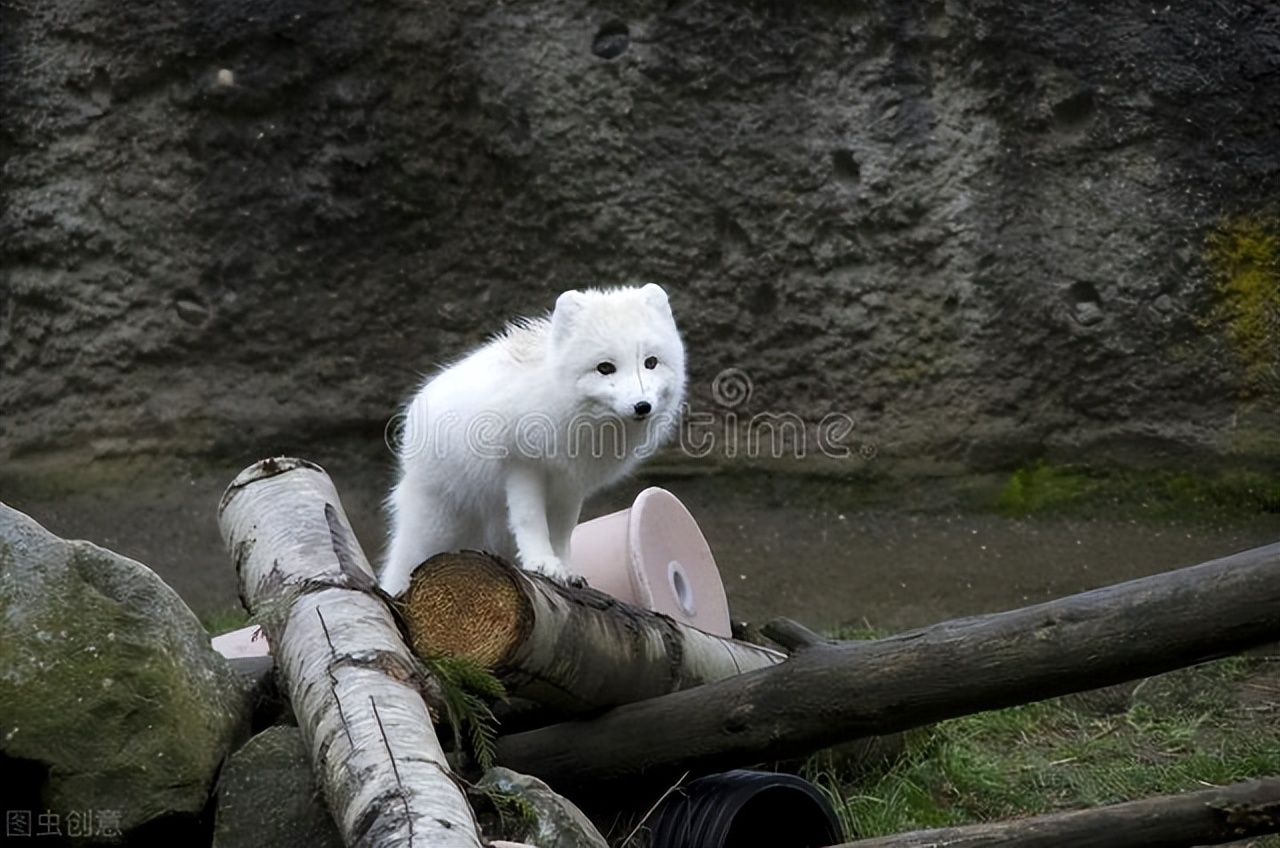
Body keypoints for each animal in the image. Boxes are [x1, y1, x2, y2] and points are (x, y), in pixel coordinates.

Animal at [381, 285, 691, 596]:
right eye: (605, 368)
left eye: (650, 362)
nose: (642, 406)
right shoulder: (521, 466)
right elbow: (530, 520)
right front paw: (543, 563)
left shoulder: (570, 483)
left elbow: (564, 531)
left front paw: (566, 569)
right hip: (437, 526)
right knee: (401, 563)